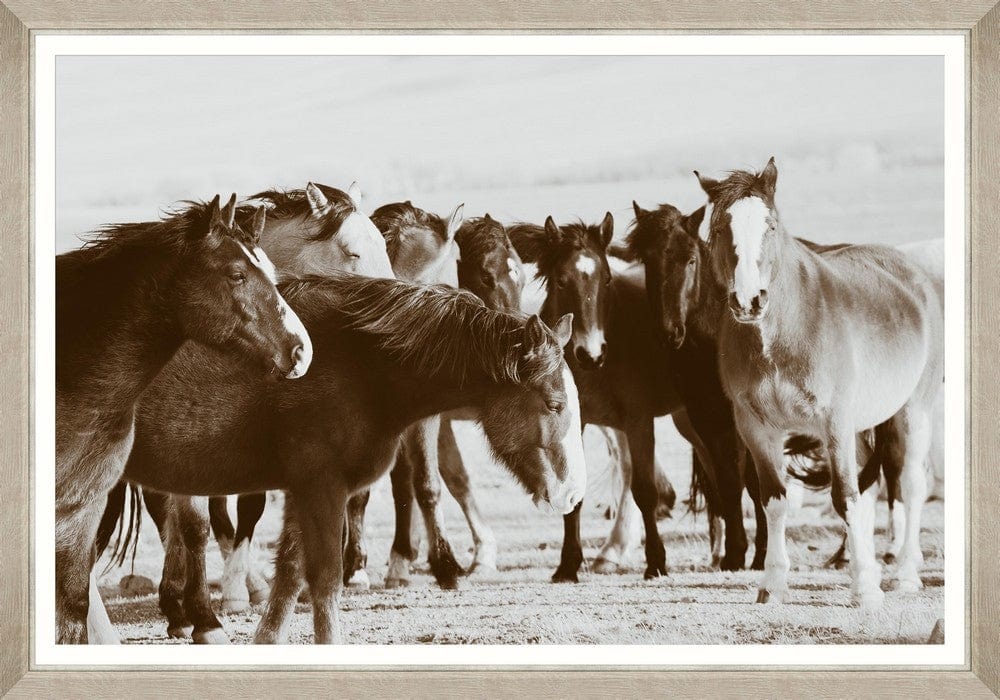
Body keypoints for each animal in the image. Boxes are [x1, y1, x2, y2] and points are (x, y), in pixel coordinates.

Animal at [57, 194, 308, 644]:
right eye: (236, 274)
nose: (301, 351)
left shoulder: (81, 504)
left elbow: (72, 608)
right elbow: (196, 527)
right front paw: (205, 619)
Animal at [119, 270, 584, 644]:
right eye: (554, 404)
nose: (573, 495)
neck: (357, 364)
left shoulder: (303, 490)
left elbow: (290, 574)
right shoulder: (322, 488)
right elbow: (324, 581)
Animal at [508, 212, 720, 580]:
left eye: (606, 279)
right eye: (561, 281)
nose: (591, 353)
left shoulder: (638, 421)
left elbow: (645, 491)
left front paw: (656, 561)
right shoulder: (573, 424)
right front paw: (568, 565)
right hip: (689, 419)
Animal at [700, 159, 940, 608]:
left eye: (770, 225)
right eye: (721, 228)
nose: (749, 300)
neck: (783, 331)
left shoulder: (834, 423)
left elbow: (844, 498)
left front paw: (866, 589)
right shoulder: (757, 428)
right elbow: (774, 501)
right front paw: (773, 584)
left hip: (913, 411)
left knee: (910, 487)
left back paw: (905, 574)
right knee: (869, 491)